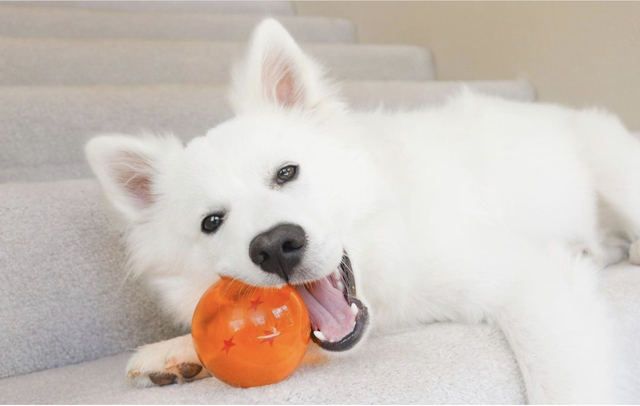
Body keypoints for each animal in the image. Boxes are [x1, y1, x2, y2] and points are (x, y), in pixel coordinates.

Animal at [86, 18, 640, 402]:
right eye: (212, 223)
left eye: (286, 173)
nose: (275, 246)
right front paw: (177, 351)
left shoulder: (532, 279)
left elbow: (563, 383)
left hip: (614, 171)